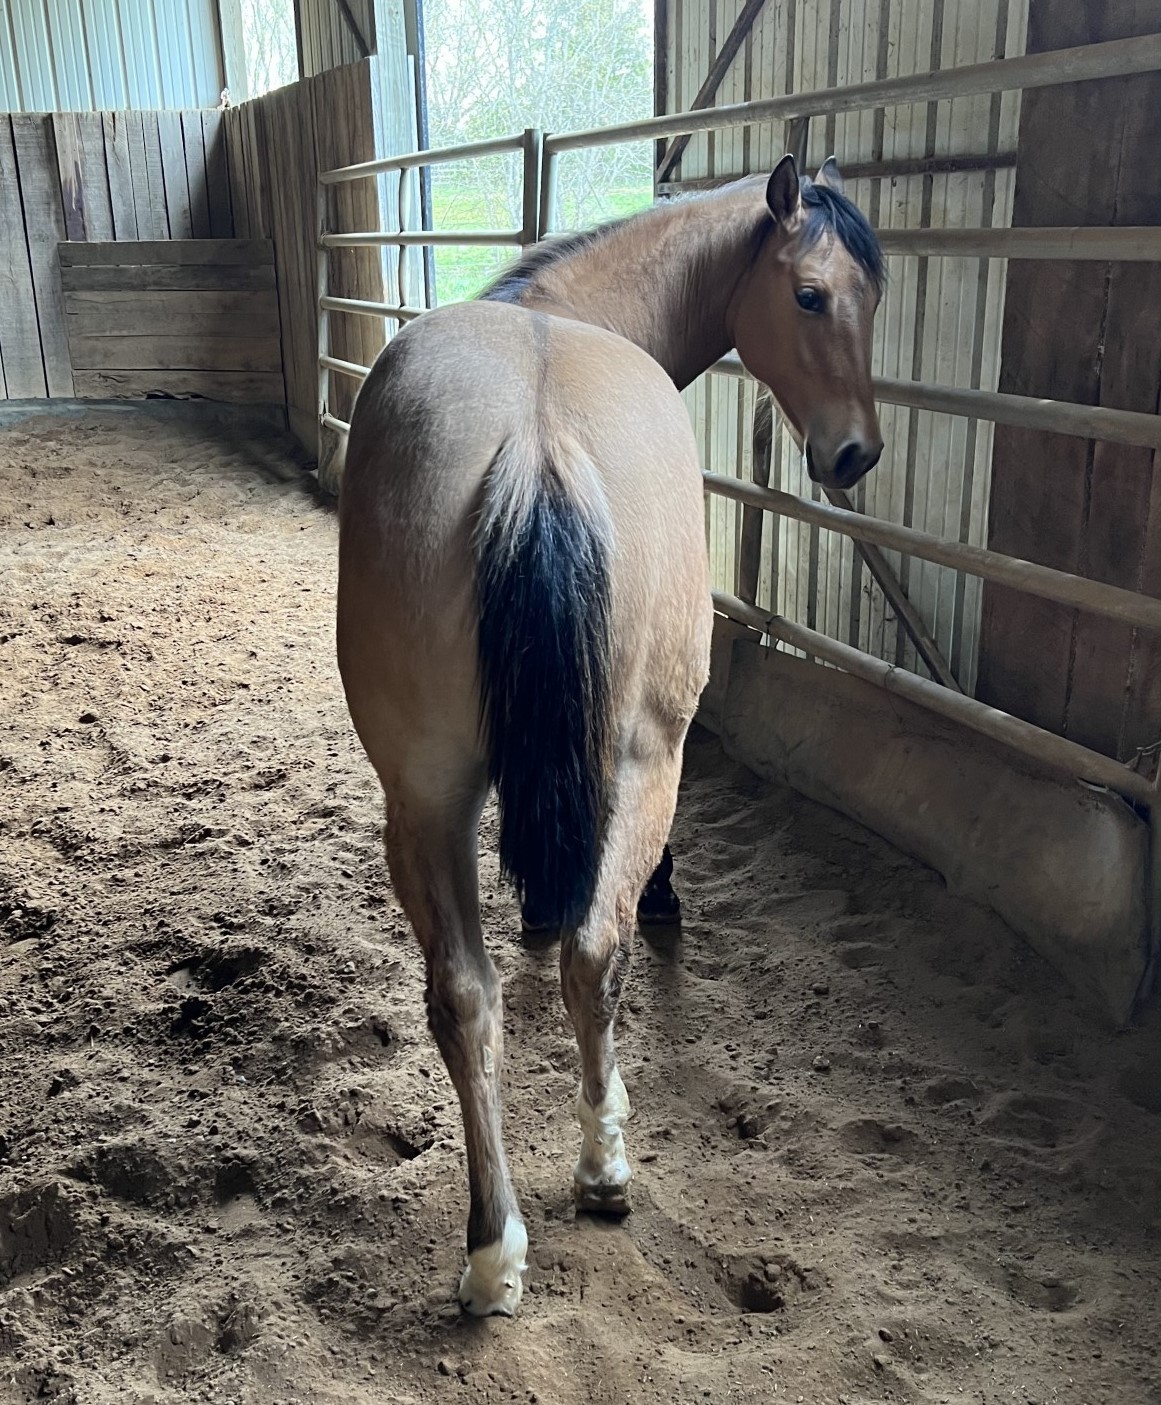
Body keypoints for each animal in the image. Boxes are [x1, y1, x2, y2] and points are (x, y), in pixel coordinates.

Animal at [334, 153, 888, 1315]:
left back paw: (493, 1249)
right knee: (598, 953)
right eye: (810, 296)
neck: (566, 311)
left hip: (425, 793)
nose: (855, 452)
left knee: (465, 998)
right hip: (642, 757)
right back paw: (603, 1168)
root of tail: (536, 446)